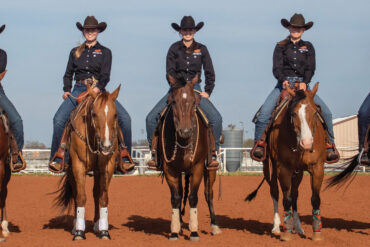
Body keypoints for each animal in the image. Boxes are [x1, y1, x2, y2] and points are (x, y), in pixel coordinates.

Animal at [54, 84, 120, 239]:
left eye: (115, 115)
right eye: (94, 114)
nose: (106, 146)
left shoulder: (107, 167)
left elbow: (103, 197)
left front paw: (104, 231)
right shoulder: (78, 166)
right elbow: (81, 197)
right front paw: (79, 231)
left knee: (96, 194)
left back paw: (97, 224)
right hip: (71, 170)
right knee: (75, 193)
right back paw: (75, 226)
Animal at [158, 75, 221, 241]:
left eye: (194, 102)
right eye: (173, 101)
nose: (185, 131)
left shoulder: (197, 167)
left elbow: (193, 197)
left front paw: (194, 232)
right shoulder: (170, 169)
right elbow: (175, 197)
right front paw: (174, 231)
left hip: (210, 170)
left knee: (208, 194)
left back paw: (215, 226)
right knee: (181, 193)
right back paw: (180, 224)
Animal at [247, 84, 326, 241]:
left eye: (315, 113)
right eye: (293, 114)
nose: (307, 143)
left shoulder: (317, 168)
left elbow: (315, 199)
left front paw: (317, 233)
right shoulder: (284, 169)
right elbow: (286, 199)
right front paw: (286, 233)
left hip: (298, 172)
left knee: (295, 194)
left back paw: (299, 228)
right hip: (269, 168)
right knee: (275, 192)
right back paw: (277, 227)